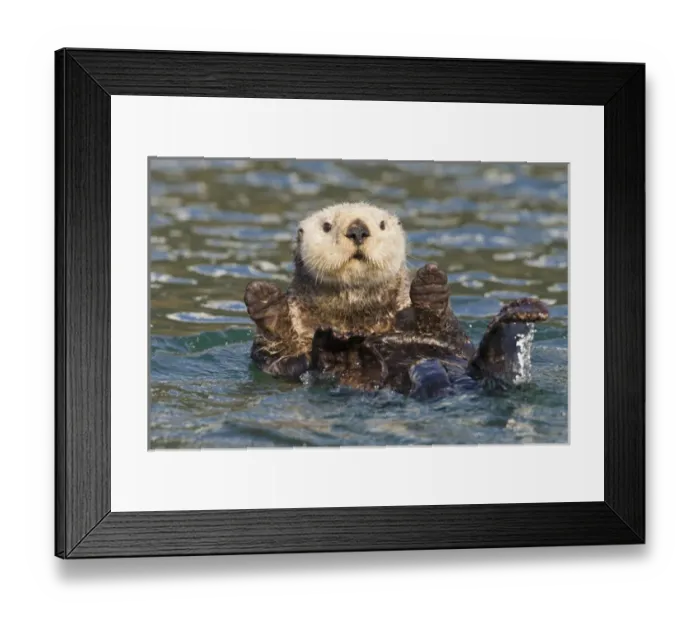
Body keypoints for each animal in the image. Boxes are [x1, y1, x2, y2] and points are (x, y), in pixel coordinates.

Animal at [244, 202, 468, 378]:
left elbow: (452, 339)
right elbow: (278, 357)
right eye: (326, 226)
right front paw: (265, 300)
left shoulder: (448, 342)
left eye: (382, 224)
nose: (358, 231)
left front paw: (431, 283)